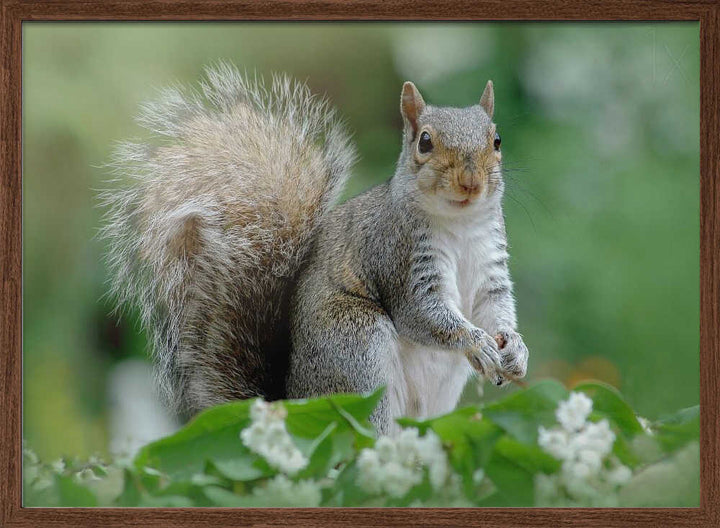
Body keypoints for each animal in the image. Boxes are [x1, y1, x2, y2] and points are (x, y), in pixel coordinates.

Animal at [102, 63, 529, 434]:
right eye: (425, 141)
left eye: (496, 140)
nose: (471, 182)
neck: (459, 226)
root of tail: (291, 403)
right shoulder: (397, 256)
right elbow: (422, 314)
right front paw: (476, 342)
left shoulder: (490, 266)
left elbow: (495, 307)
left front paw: (515, 349)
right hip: (356, 348)